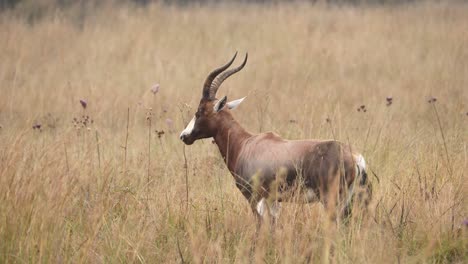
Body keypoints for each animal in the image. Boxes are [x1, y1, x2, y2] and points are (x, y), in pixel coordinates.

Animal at [181, 53, 372, 225]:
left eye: (200, 111)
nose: (184, 136)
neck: (245, 144)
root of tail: (355, 158)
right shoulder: (272, 201)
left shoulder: (254, 198)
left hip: (332, 200)